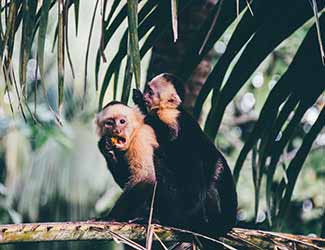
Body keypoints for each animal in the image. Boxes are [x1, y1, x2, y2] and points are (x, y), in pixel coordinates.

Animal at [132, 73, 238, 237]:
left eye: (150, 92)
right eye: (147, 89)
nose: (145, 96)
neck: (167, 107)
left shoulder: (171, 116)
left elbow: (170, 138)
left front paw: (142, 106)